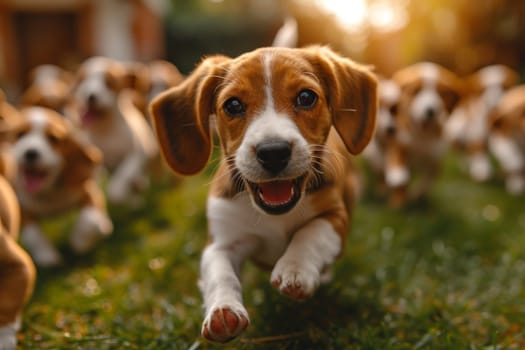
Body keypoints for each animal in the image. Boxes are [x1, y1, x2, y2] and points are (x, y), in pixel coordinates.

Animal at [10, 106, 112, 268]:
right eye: (20, 134)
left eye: (53, 139)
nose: (30, 153)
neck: (50, 191)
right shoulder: (20, 206)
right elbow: (33, 235)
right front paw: (47, 257)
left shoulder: (88, 192)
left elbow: (90, 219)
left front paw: (80, 241)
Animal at [70, 56, 159, 206]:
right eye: (82, 80)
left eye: (109, 83)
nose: (90, 96)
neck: (106, 128)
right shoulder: (94, 158)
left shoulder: (137, 154)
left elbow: (123, 176)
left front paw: (119, 191)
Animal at [148, 45, 376, 342]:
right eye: (233, 105)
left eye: (306, 97)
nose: (273, 151)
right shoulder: (221, 242)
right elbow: (220, 274)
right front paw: (223, 310)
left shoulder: (336, 218)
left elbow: (311, 234)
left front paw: (295, 269)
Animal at [386, 63, 460, 205]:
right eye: (416, 91)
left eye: (441, 94)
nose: (430, 110)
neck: (422, 134)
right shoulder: (400, 140)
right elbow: (398, 161)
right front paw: (398, 178)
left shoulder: (436, 158)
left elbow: (428, 180)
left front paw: (416, 195)